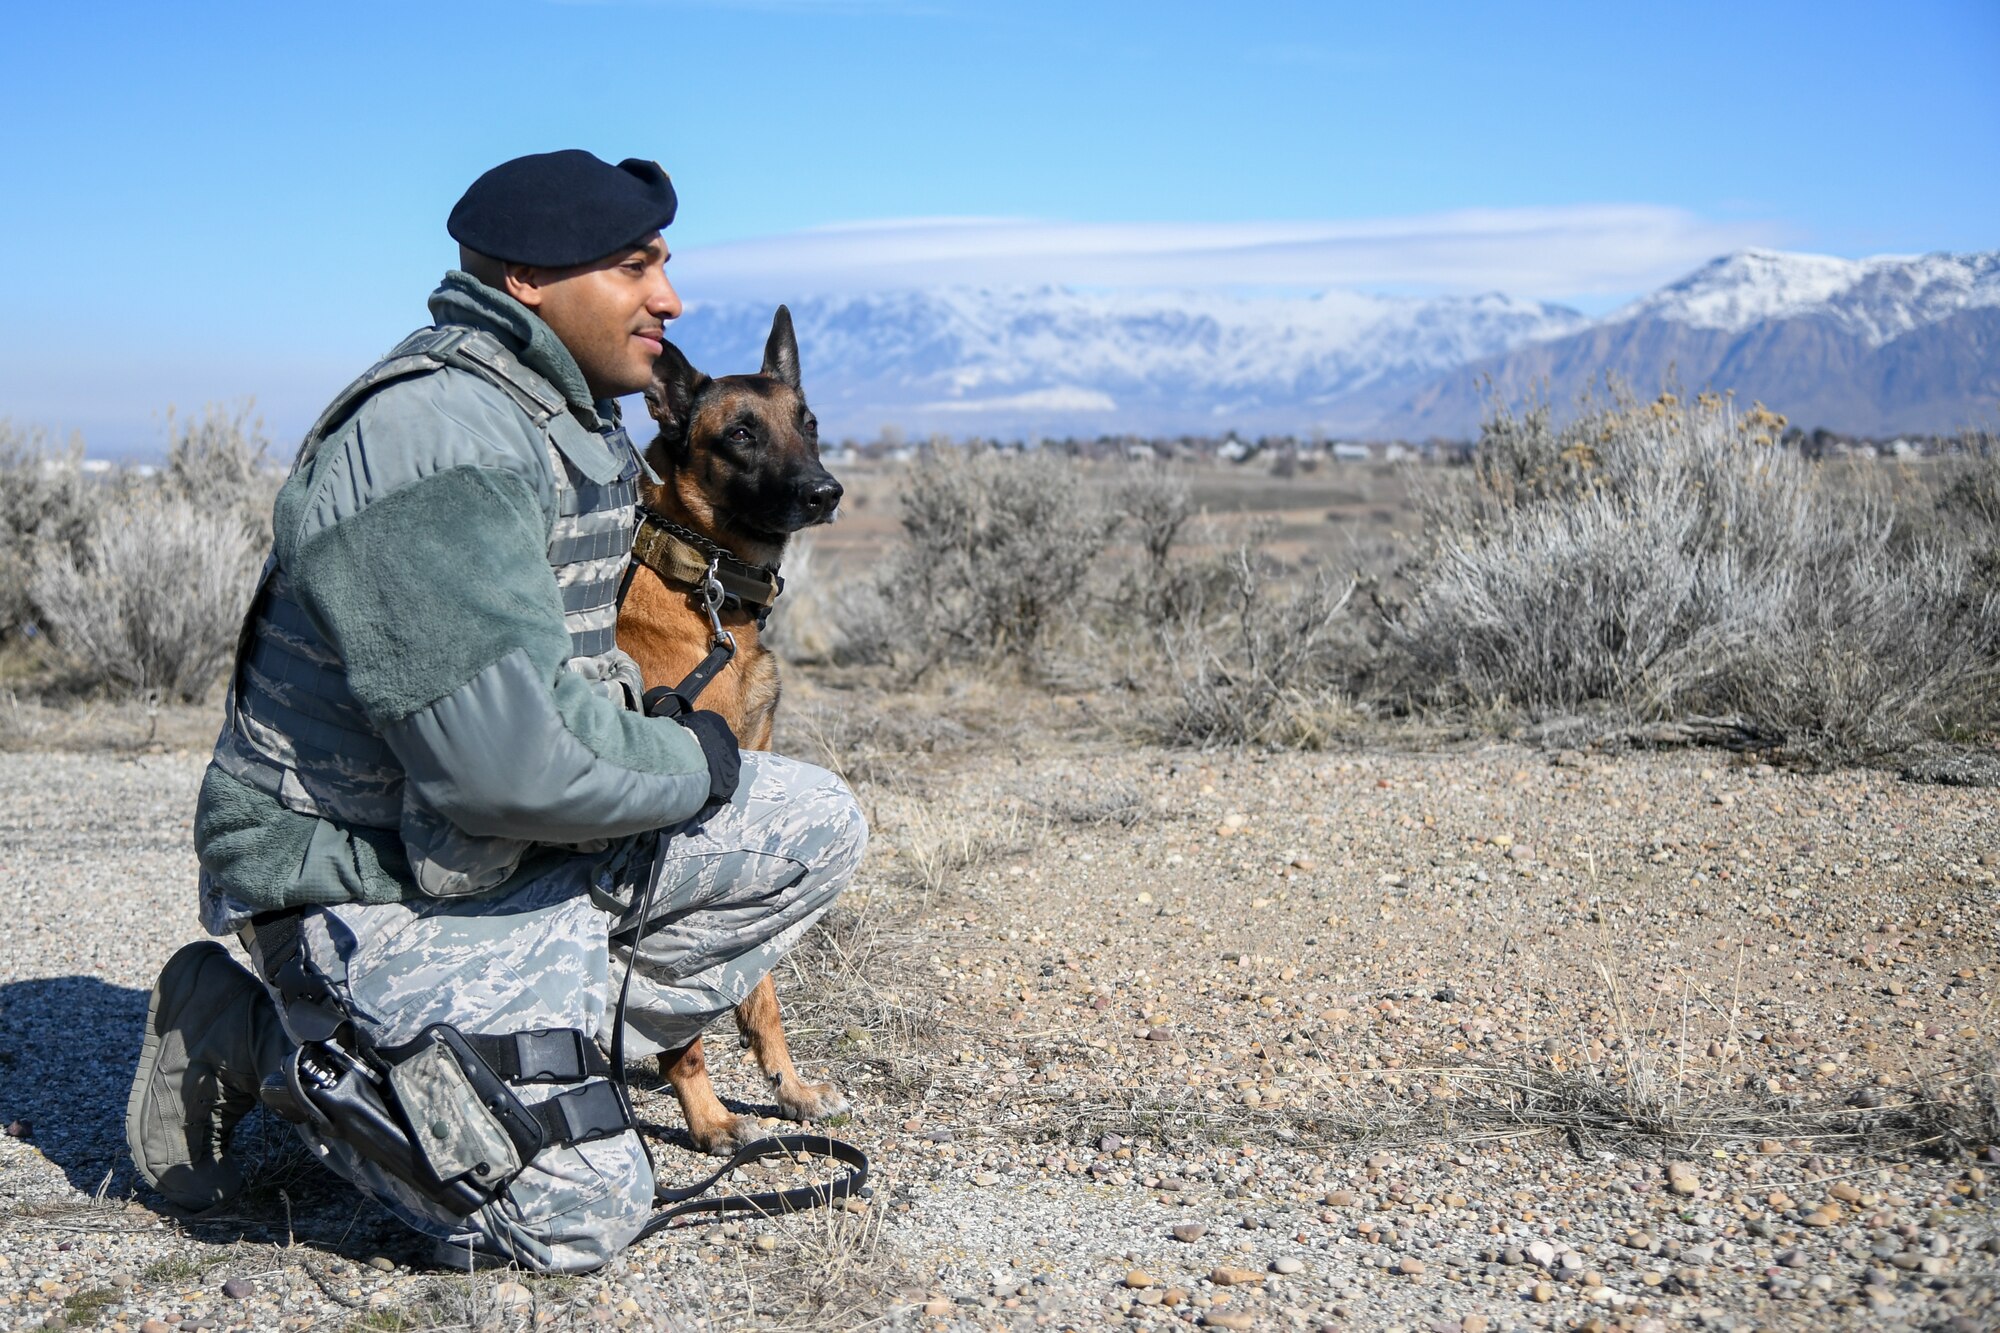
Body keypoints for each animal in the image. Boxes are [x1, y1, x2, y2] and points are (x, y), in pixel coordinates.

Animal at [616, 308, 852, 1152]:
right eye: (741, 434)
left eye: (807, 422)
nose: (825, 491)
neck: (703, 581)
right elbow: (681, 1016)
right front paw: (709, 1114)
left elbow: (762, 988)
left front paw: (790, 1088)